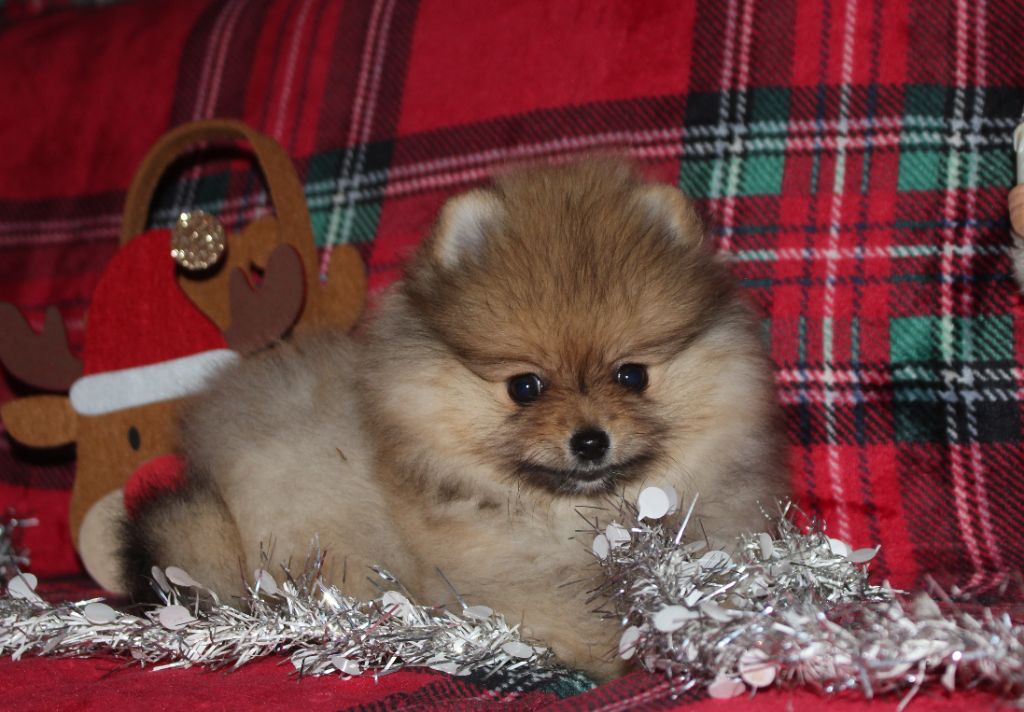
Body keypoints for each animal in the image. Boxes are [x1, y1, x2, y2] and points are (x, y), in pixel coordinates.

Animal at [121, 159, 790, 680]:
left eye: (631, 376)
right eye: (525, 387)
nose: (590, 440)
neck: (586, 518)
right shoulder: (504, 583)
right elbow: (580, 620)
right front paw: (627, 646)